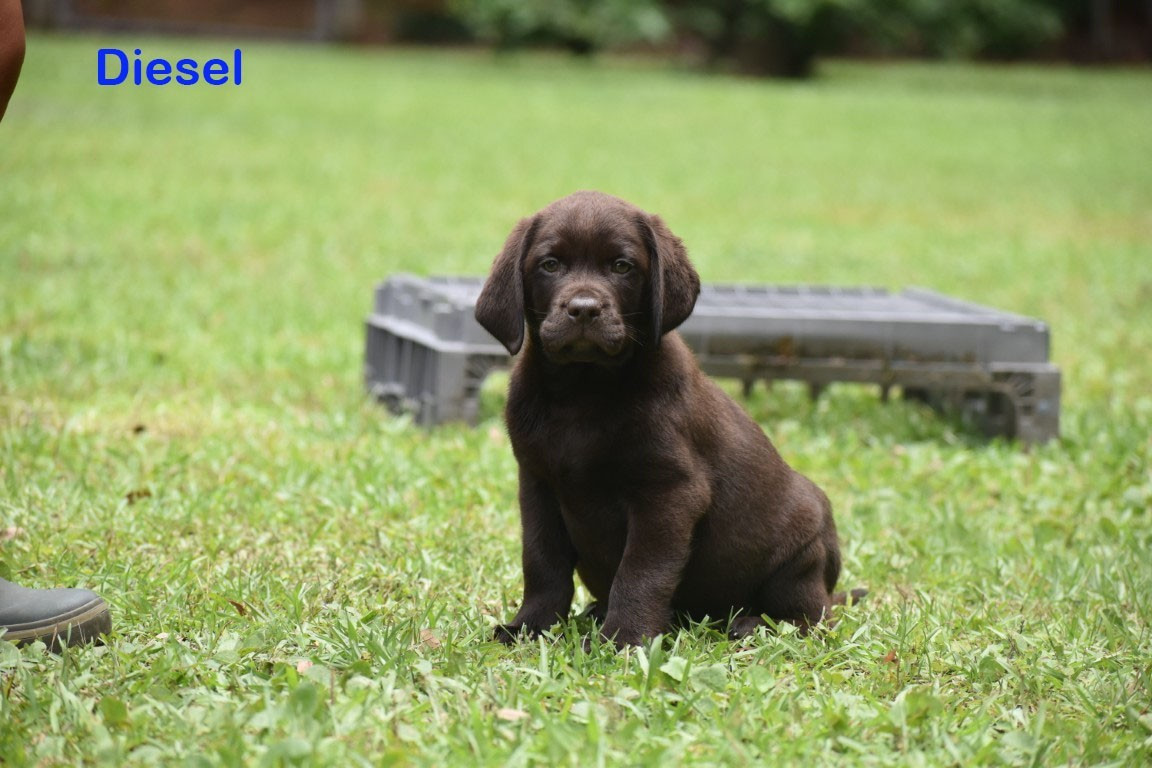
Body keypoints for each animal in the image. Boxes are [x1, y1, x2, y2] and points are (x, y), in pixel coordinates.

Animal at [476, 191, 859, 646]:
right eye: (550, 265)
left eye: (622, 266)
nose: (584, 309)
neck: (584, 390)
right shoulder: (537, 485)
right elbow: (541, 562)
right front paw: (529, 626)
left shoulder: (670, 493)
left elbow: (642, 572)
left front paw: (624, 639)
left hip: (800, 556)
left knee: (814, 618)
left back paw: (755, 624)